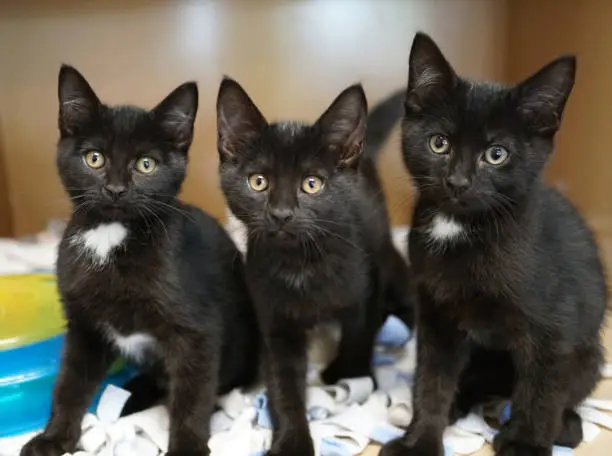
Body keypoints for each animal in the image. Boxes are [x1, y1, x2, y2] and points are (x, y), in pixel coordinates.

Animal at [21, 65, 258, 456]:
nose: (116, 190)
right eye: (94, 158)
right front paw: (54, 437)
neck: (111, 236)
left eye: (146, 164)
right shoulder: (84, 328)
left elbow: (192, 396)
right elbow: (69, 383)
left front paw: (187, 447)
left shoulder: (198, 332)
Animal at [218, 79, 414, 456]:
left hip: (384, 253)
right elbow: (284, 384)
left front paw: (349, 376)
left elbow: (358, 337)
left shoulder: (366, 290)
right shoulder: (276, 324)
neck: (301, 264)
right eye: (258, 181)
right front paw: (292, 440)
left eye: (312, 184)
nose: (281, 214)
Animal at [382, 32, 608, 456]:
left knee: (563, 391)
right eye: (439, 144)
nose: (457, 182)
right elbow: (432, 379)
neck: (460, 228)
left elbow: (542, 391)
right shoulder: (436, 314)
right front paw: (421, 439)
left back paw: (564, 426)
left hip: (589, 354)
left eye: (496, 154)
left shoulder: (555, 328)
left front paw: (526, 443)